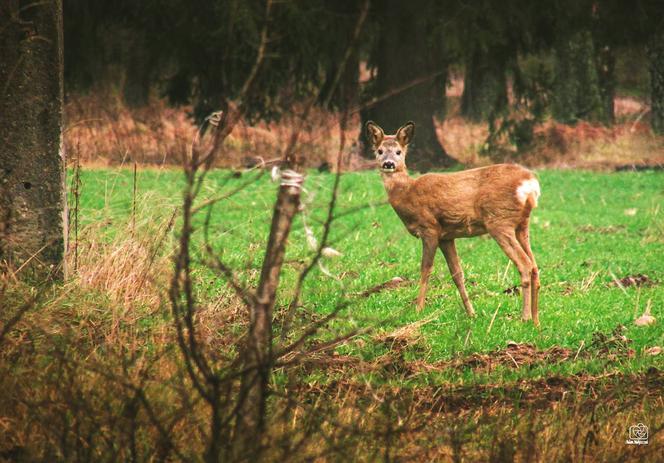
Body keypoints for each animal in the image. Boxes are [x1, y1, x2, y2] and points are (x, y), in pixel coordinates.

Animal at [366, 121, 544, 328]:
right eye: (379, 151)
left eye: (398, 152)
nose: (389, 164)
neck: (408, 192)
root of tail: (530, 184)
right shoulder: (447, 236)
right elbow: (457, 273)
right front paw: (471, 313)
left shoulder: (430, 228)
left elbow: (426, 269)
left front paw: (418, 309)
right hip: (522, 225)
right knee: (534, 266)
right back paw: (536, 320)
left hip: (499, 221)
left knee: (524, 264)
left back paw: (524, 317)